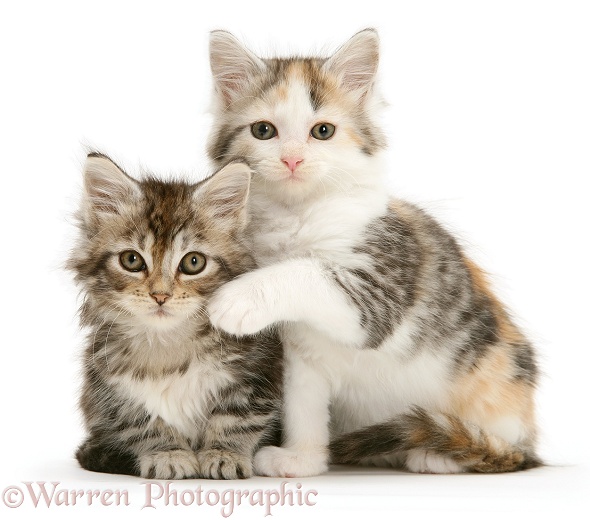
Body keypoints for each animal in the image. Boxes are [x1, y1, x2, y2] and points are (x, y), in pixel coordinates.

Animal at [69, 151, 282, 480]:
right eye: (131, 260)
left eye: (193, 262)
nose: (160, 295)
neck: (168, 342)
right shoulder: (109, 389)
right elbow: (143, 423)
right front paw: (168, 454)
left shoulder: (257, 374)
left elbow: (236, 418)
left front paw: (224, 454)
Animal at [206, 29, 544, 476]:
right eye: (264, 131)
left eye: (323, 131)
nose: (293, 159)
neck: (297, 216)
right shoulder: (298, 353)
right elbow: (302, 405)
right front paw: (301, 460)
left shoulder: (378, 287)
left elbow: (306, 271)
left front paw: (234, 299)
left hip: (501, 380)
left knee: (502, 448)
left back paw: (441, 452)